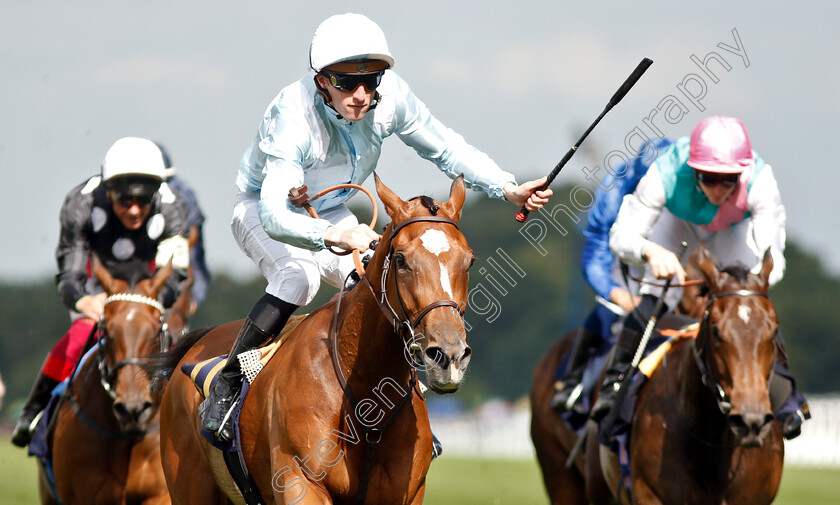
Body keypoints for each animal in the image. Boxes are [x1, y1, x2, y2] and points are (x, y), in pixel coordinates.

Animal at [536, 246, 784, 502]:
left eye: (774, 330)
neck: (712, 446)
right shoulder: (649, 493)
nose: (751, 420)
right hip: (562, 474)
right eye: (715, 331)